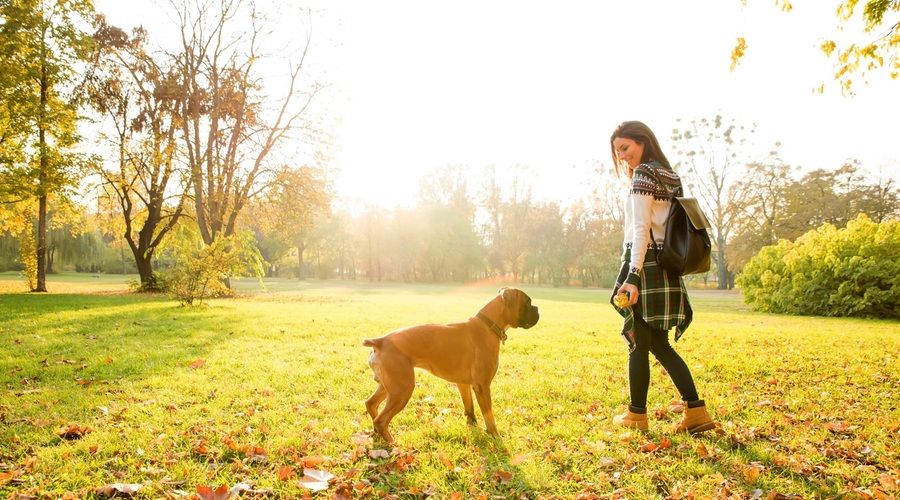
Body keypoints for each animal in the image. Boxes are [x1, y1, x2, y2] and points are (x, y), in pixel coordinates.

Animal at [360, 288, 540, 444]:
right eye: (528, 303)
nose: (538, 309)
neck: (488, 325)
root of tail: (380, 341)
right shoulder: (482, 387)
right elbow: (489, 416)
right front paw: (496, 437)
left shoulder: (464, 384)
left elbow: (469, 408)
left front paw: (473, 426)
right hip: (402, 389)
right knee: (381, 420)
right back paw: (392, 443)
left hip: (390, 386)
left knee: (371, 404)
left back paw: (377, 434)